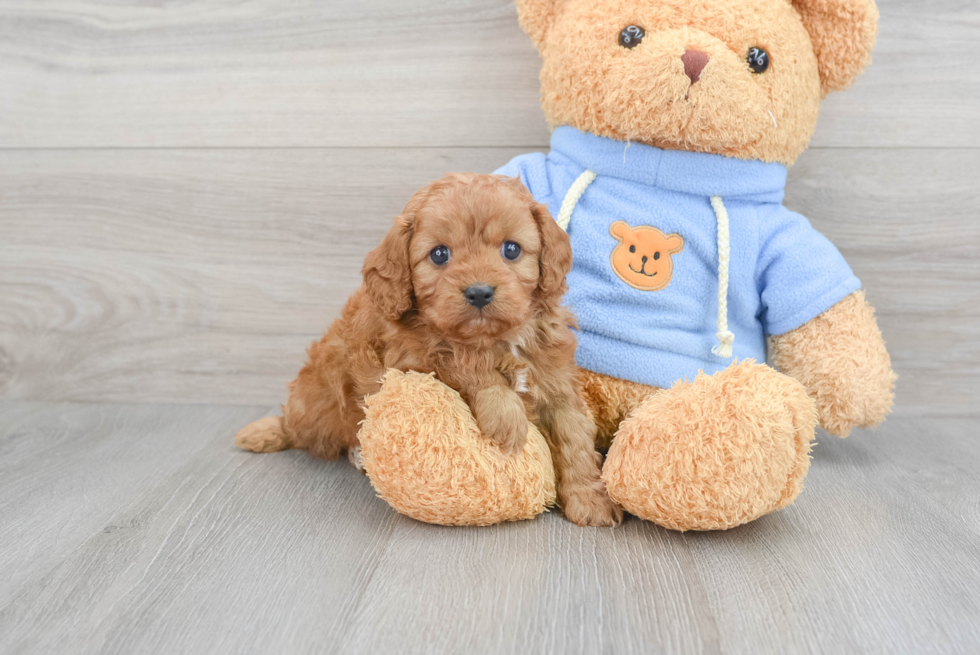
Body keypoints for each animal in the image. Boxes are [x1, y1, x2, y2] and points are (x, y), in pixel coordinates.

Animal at [236, 173, 620, 528]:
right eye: (439, 254)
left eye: (511, 249)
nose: (479, 292)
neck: (497, 338)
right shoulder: (412, 358)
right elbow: (464, 362)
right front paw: (505, 415)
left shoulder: (558, 384)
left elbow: (575, 441)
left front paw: (590, 501)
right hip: (318, 405)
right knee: (297, 427)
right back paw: (272, 431)